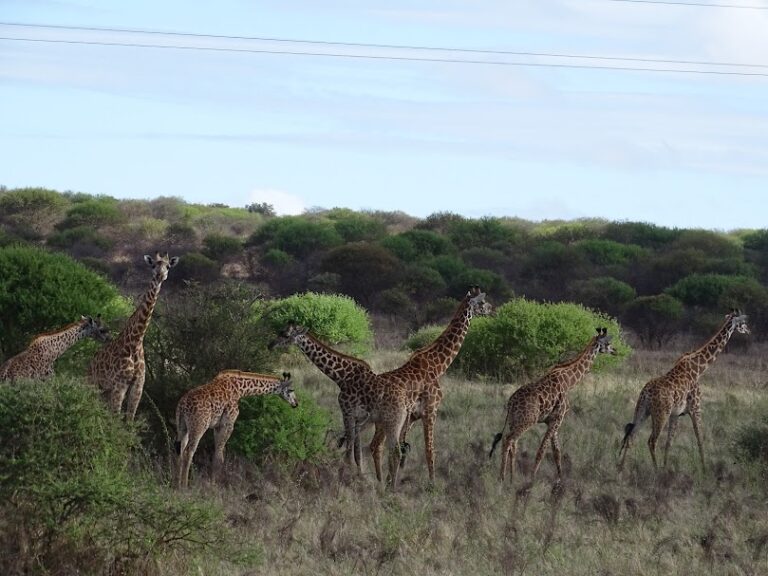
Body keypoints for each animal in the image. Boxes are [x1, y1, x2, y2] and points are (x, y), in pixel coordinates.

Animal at [88, 252, 178, 420]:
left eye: (168, 266)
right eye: (153, 264)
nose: (160, 275)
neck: (135, 342)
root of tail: (90, 362)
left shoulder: (138, 386)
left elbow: (130, 419)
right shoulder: (120, 384)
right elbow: (116, 418)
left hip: (105, 390)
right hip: (93, 382)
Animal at [269, 325, 377, 472]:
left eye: (286, 335)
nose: (270, 345)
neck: (342, 377)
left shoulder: (347, 410)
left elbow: (350, 442)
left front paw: (347, 468)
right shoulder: (357, 415)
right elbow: (356, 446)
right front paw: (359, 471)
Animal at [368, 286, 492, 487]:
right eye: (481, 302)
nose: (491, 309)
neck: (438, 366)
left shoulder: (412, 417)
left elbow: (402, 451)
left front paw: (391, 481)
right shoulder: (431, 411)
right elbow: (429, 450)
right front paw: (432, 485)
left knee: (375, 445)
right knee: (375, 446)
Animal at [489, 328, 616, 484]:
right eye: (608, 343)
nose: (615, 350)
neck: (570, 382)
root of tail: (511, 402)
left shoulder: (553, 421)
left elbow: (557, 452)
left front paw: (559, 481)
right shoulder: (557, 419)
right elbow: (542, 450)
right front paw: (532, 479)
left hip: (515, 420)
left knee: (512, 443)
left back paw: (511, 478)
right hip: (528, 420)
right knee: (508, 440)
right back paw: (502, 478)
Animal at [618, 310, 749, 472]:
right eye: (743, 323)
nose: (748, 330)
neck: (699, 369)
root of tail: (646, 393)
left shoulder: (676, 414)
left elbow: (669, 443)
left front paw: (666, 466)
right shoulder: (696, 408)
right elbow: (700, 439)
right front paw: (704, 469)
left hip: (642, 410)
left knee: (631, 435)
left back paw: (621, 468)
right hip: (661, 413)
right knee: (651, 441)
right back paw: (655, 471)